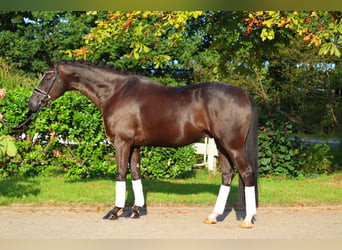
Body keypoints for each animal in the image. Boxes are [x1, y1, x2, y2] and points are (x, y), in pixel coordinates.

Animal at [28, 60, 260, 229]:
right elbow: (136, 173)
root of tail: (245, 94)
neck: (116, 92)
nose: (32, 103)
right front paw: (136, 210)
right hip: (221, 145)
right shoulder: (134, 145)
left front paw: (114, 211)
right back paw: (213, 216)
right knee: (227, 175)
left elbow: (121, 174)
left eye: (47, 76)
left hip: (232, 145)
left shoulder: (121, 142)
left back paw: (248, 219)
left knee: (247, 173)